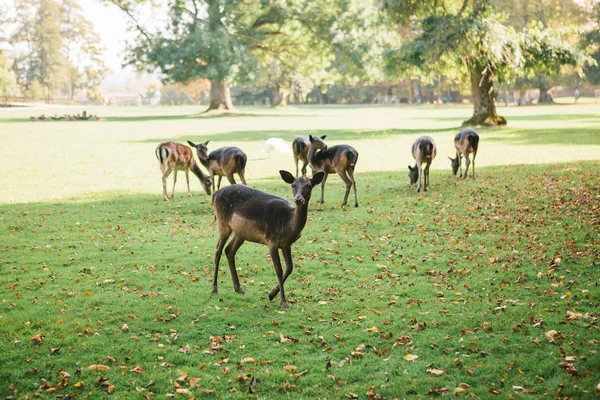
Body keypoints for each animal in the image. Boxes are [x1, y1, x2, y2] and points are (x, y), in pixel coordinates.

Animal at [210, 170, 324, 308]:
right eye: (293, 185)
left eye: (309, 186)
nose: (298, 199)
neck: (288, 224)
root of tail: (215, 194)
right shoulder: (271, 241)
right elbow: (279, 269)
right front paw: (283, 302)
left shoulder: (286, 244)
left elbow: (290, 267)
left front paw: (271, 294)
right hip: (223, 223)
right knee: (218, 251)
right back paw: (214, 288)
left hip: (240, 233)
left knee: (229, 250)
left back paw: (239, 288)